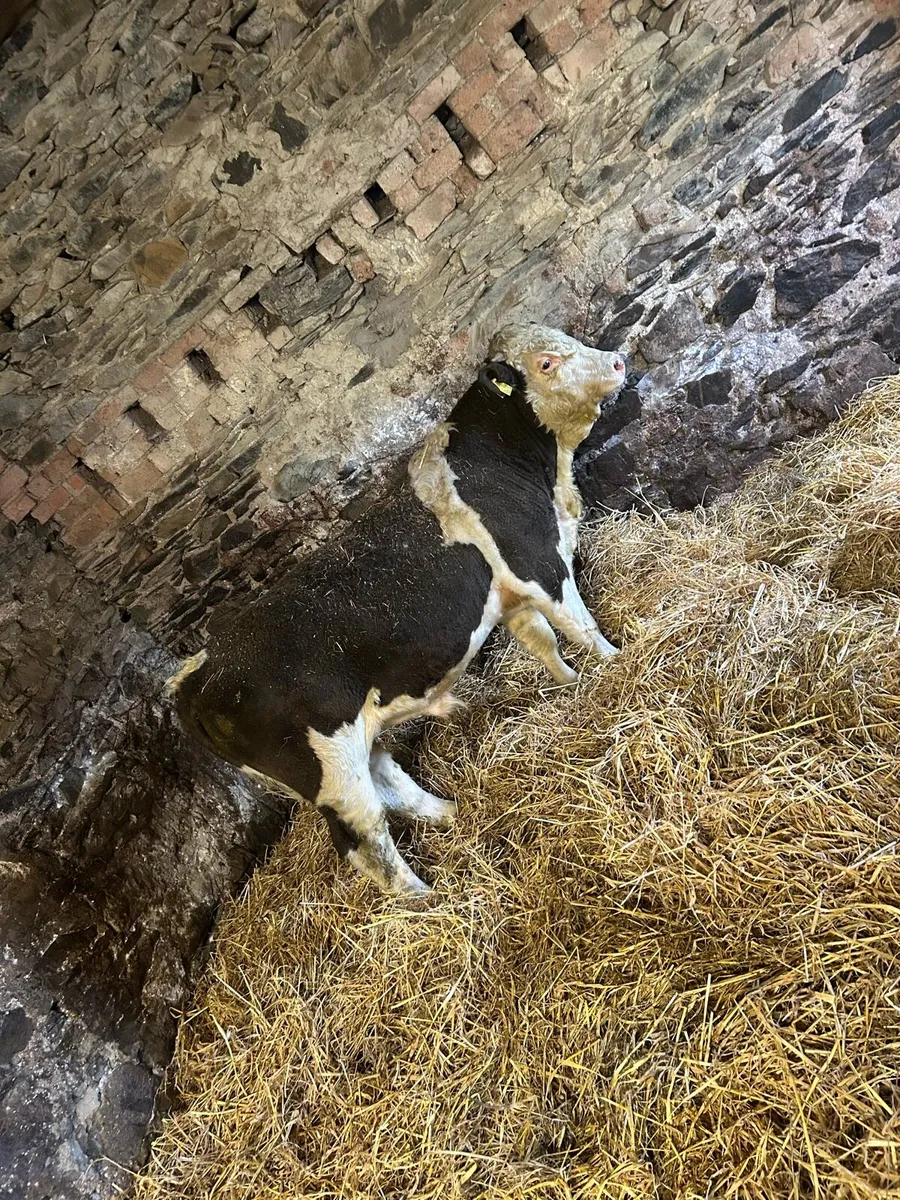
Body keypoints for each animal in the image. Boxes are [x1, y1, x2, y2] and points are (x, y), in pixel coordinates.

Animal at [166, 324, 626, 893]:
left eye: (567, 339)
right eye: (545, 362)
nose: (618, 362)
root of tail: (196, 674)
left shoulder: (508, 593)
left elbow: (543, 640)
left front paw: (571, 684)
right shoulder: (536, 560)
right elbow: (579, 625)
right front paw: (616, 663)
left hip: (351, 751)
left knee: (388, 779)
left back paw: (451, 813)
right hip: (329, 771)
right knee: (364, 841)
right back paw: (426, 898)